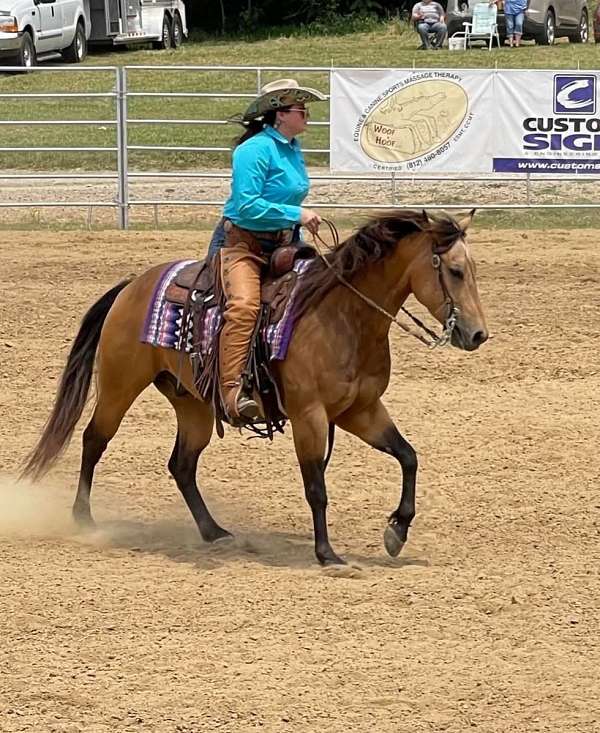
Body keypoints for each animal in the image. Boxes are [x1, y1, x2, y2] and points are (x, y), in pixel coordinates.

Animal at [22, 209, 488, 566]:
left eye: (473, 270)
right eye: (454, 271)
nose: (478, 334)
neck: (342, 317)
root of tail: (133, 285)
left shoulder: (361, 410)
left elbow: (408, 456)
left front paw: (396, 532)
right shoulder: (309, 415)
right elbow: (316, 487)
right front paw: (327, 554)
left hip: (192, 403)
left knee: (182, 465)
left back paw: (214, 532)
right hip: (120, 384)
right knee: (94, 439)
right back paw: (84, 519)